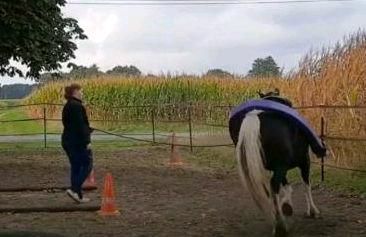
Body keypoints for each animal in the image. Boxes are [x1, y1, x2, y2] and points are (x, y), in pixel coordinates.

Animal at [233, 90, 324, 236]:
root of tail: (254, 116)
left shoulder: (280, 167)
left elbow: (287, 185)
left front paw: (286, 205)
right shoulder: (303, 162)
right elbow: (306, 186)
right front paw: (313, 211)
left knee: (268, 189)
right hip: (283, 166)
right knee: (273, 185)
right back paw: (280, 225)